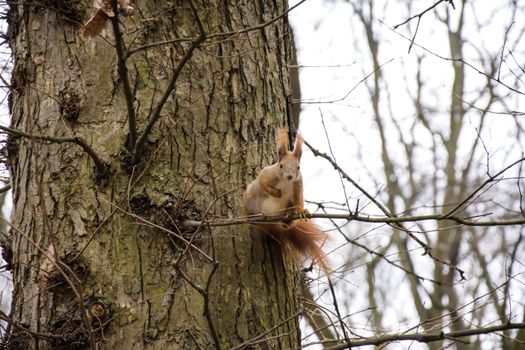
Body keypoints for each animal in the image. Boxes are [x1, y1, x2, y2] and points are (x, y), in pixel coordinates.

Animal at [242, 129, 328, 274]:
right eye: (281, 165)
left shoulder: (298, 185)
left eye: (298, 167)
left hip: (287, 207)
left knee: (288, 217)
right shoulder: (268, 173)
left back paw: (288, 217)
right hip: (250, 199)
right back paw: (249, 217)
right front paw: (276, 193)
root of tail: (271, 222)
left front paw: (302, 211)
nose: (289, 176)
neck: (286, 182)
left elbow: (299, 199)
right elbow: (263, 182)